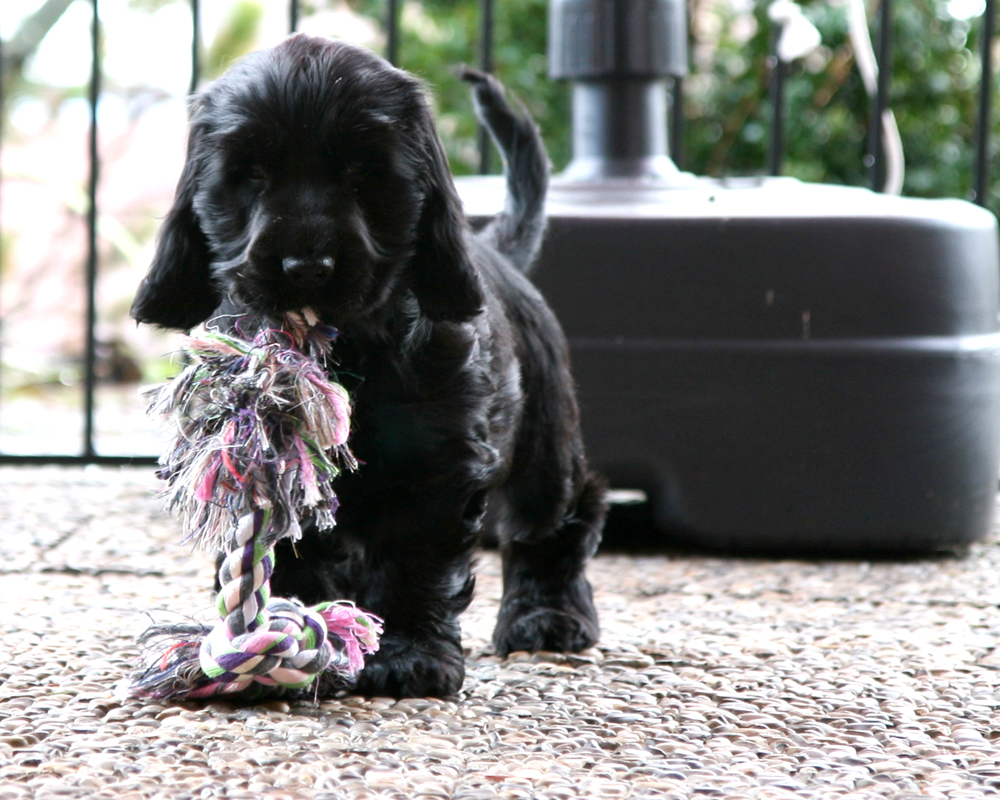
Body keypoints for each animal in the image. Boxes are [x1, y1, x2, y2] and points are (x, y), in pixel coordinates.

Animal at [130, 34, 604, 696]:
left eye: (361, 172)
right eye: (251, 175)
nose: (305, 266)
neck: (347, 351)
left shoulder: (434, 458)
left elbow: (414, 555)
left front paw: (407, 654)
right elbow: (286, 545)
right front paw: (281, 636)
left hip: (544, 444)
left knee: (557, 522)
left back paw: (548, 617)